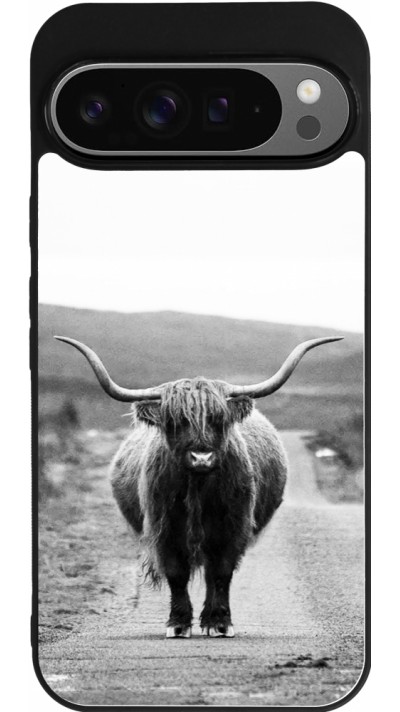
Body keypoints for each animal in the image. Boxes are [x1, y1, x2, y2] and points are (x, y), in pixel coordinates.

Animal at [55, 334, 342, 638]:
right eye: (175, 421)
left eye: (218, 419)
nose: (201, 457)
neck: (198, 488)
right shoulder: (164, 528)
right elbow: (176, 573)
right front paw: (178, 623)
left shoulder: (233, 527)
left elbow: (221, 573)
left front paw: (219, 622)